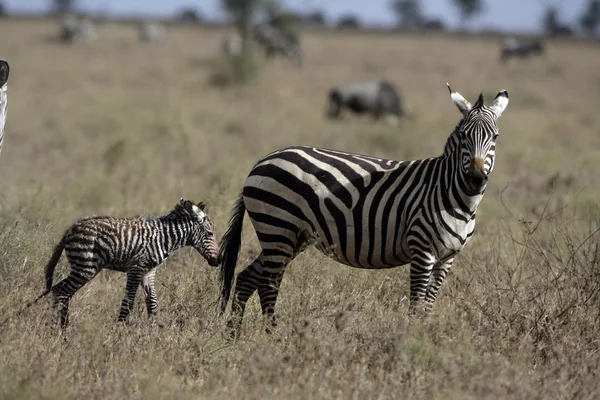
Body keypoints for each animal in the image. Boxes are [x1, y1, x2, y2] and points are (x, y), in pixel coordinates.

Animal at [30, 199, 220, 328]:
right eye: (210, 234)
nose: (218, 261)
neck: (165, 238)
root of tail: (70, 229)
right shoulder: (136, 268)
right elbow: (128, 302)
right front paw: (119, 331)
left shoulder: (148, 272)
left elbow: (152, 302)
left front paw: (153, 331)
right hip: (86, 267)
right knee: (61, 291)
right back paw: (59, 331)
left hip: (85, 268)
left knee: (63, 292)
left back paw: (63, 329)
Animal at [220, 83, 510, 334]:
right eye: (463, 136)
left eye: (495, 137)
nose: (475, 179)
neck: (453, 197)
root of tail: (261, 162)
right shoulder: (422, 250)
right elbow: (416, 306)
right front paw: (408, 344)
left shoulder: (447, 257)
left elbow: (427, 307)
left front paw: (422, 340)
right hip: (278, 228)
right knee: (268, 285)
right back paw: (272, 338)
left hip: (290, 236)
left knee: (247, 278)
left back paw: (233, 336)